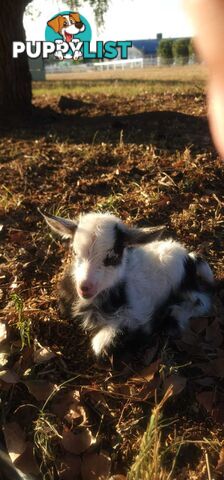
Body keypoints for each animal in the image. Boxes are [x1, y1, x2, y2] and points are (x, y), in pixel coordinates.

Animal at [42, 212, 214, 354]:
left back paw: (173, 319)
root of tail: (189, 257)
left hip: (183, 284)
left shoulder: (138, 315)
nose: (85, 287)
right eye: (75, 253)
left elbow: (102, 345)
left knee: (202, 301)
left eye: (112, 257)